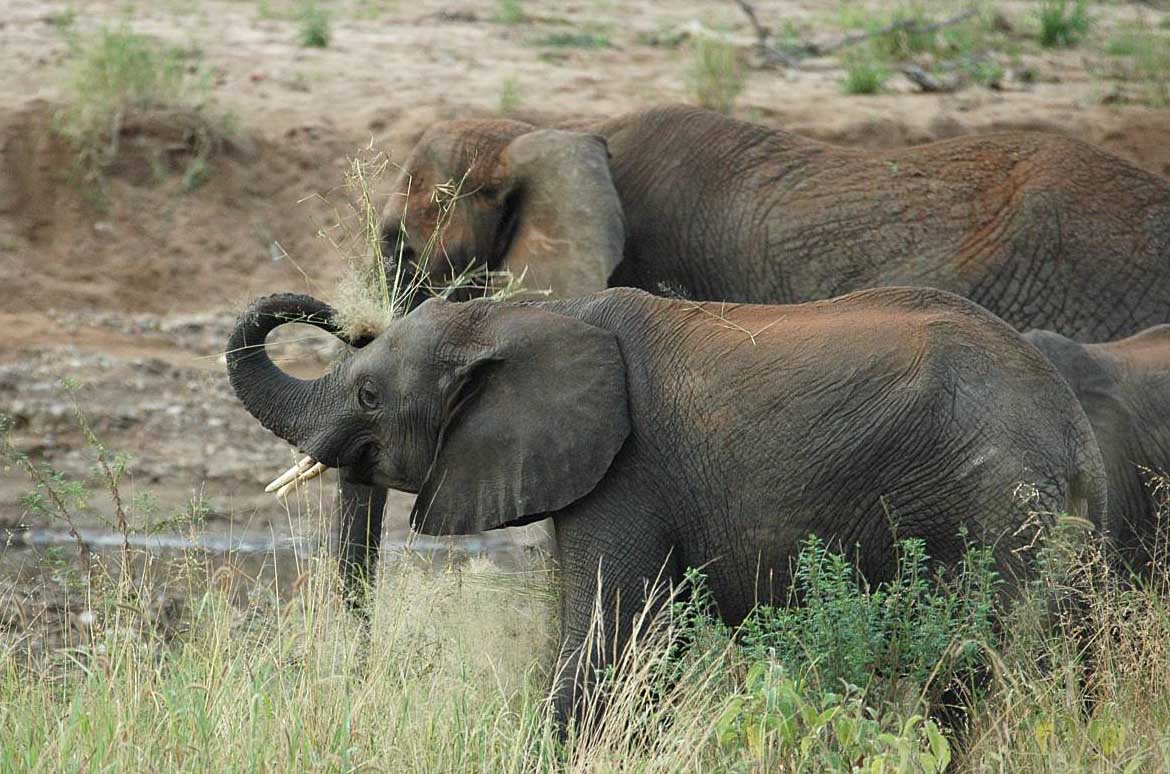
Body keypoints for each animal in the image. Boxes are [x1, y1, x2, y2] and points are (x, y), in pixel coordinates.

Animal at [225, 285, 1104, 729]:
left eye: (370, 396)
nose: (342, 316)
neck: (531, 315)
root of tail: (1072, 429)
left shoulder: (631, 470)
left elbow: (608, 647)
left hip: (983, 501)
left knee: (964, 664)